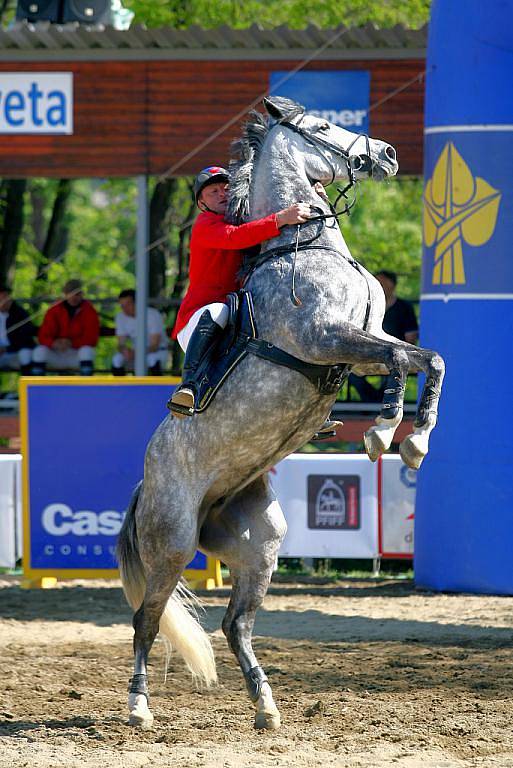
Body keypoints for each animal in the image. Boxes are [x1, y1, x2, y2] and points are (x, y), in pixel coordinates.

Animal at [115, 96, 440, 732]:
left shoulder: (367, 336)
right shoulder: (325, 337)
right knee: (148, 619)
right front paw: (386, 431)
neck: (306, 245)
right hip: (173, 541)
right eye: (322, 127)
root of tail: (146, 484)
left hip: (260, 542)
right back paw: (139, 707)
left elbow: (420, 357)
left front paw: (411, 437)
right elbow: (400, 359)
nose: (389, 155)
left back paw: (265, 705)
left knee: (235, 623)